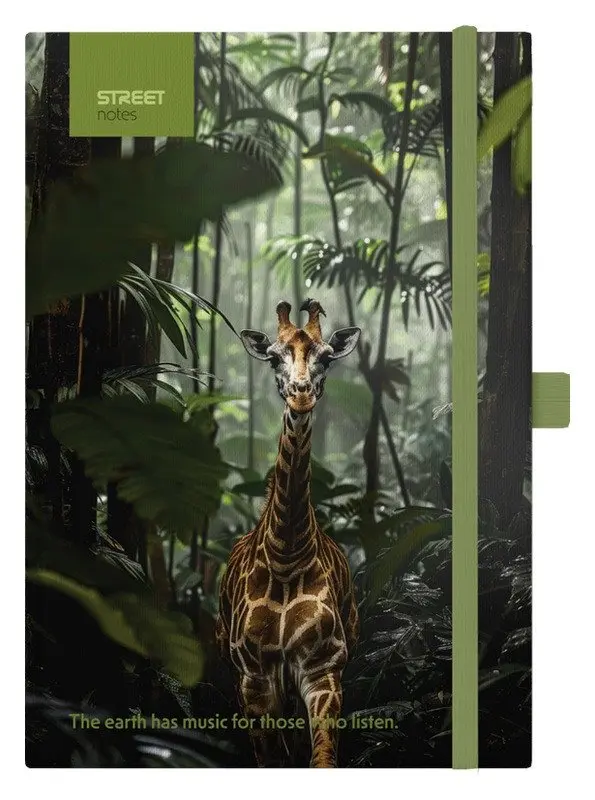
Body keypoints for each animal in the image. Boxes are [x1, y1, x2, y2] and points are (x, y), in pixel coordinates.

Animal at [216, 298, 361, 768]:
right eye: (274, 357)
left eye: (327, 358)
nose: (300, 394)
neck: (285, 553)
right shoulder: (254, 677)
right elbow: (273, 761)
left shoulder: (323, 667)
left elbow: (321, 760)